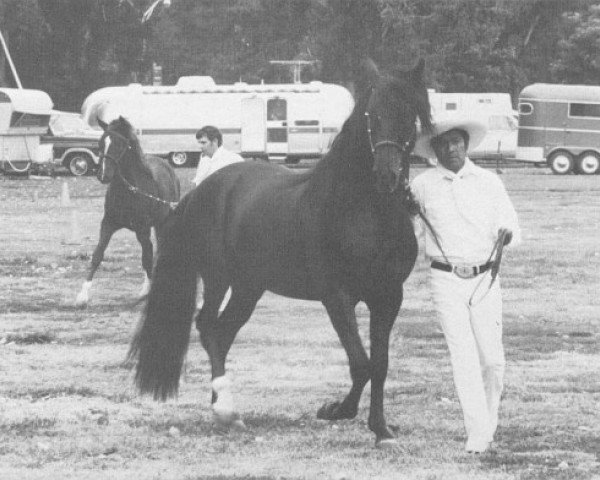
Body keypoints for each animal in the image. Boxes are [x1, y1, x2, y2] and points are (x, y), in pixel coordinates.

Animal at [74, 114, 179, 306]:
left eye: (120, 144)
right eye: (100, 142)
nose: (103, 175)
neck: (130, 190)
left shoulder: (142, 229)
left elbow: (146, 258)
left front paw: (148, 293)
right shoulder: (108, 224)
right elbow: (97, 255)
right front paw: (82, 296)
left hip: (164, 221)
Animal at [130, 59, 432, 446]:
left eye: (409, 114)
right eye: (370, 114)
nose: (387, 176)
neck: (363, 212)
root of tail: (200, 191)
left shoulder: (388, 297)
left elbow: (379, 364)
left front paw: (381, 429)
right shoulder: (337, 297)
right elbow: (361, 363)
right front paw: (334, 410)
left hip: (249, 286)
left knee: (222, 332)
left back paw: (225, 409)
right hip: (218, 278)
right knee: (208, 326)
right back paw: (224, 409)